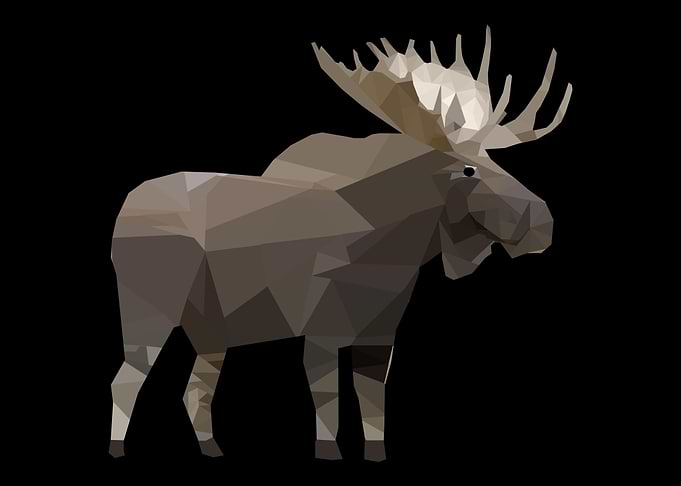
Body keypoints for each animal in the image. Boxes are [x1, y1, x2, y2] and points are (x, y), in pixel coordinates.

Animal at [109, 28, 571, 461]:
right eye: (469, 170)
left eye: (497, 162)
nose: (544, 223)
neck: (392, 254)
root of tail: (123, 210)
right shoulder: (321, 334)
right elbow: (328, 411)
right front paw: (329, 453)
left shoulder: (378, 340)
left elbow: (374, 412)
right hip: (150, 313)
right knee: (127, 379)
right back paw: (117, 448)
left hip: (212, 326)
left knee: (195, 388)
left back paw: (212, 448)